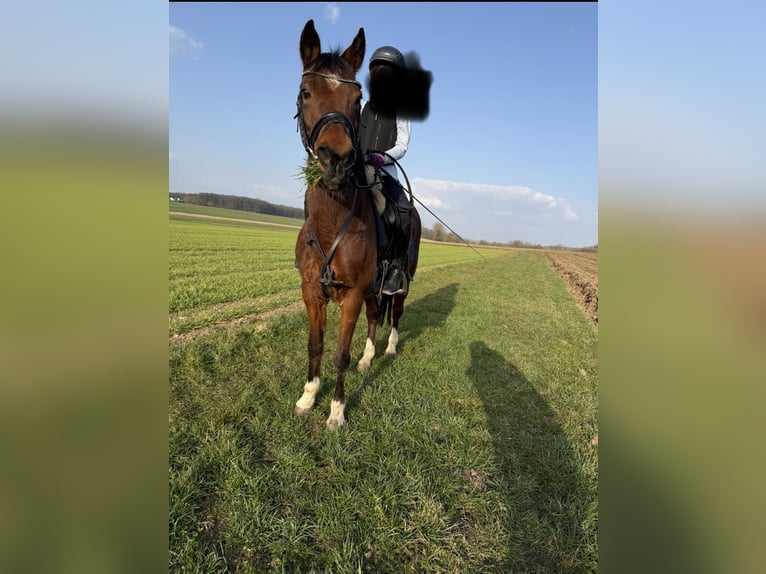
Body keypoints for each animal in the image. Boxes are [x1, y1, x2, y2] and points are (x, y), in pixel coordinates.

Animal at [293, 19, 422, 430]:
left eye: (355, 98)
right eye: (306, 92)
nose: (335, 160)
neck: (332, 224)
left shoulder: (350, 296)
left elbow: (339, 354)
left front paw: (336, 412)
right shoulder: (312, 292)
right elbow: (315, 346)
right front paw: (308, 397)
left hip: (400, 277)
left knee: (394, 313)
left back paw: (389, 349)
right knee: (374, 316)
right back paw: (369, 358)